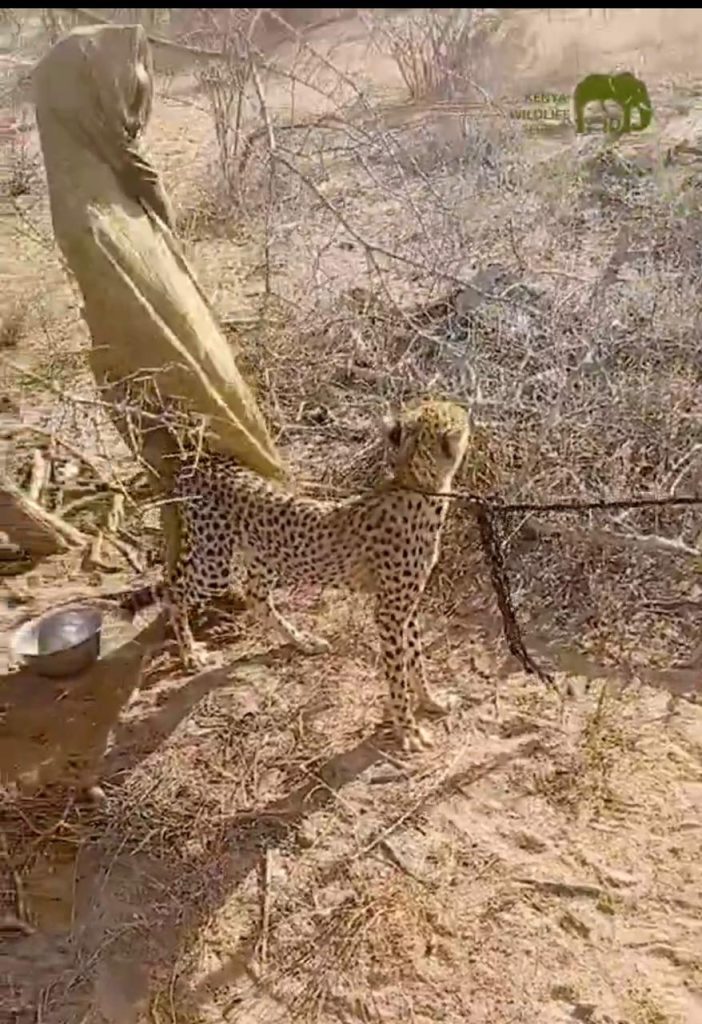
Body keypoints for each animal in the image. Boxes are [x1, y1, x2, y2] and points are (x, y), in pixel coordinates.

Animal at [166, 398, 471, 752]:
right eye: (453, 414)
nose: (466, 410)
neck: (416, 483)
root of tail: (199, 462)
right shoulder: (389, 612)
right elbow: (397, 671)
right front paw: (407, 729)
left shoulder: (405, 607)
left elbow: (415, 659)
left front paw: (430, 700)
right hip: (215, 562)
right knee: (173, 589)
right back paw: (190, 652)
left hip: (264, 555)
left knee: (255, 596)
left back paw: (302, 641)